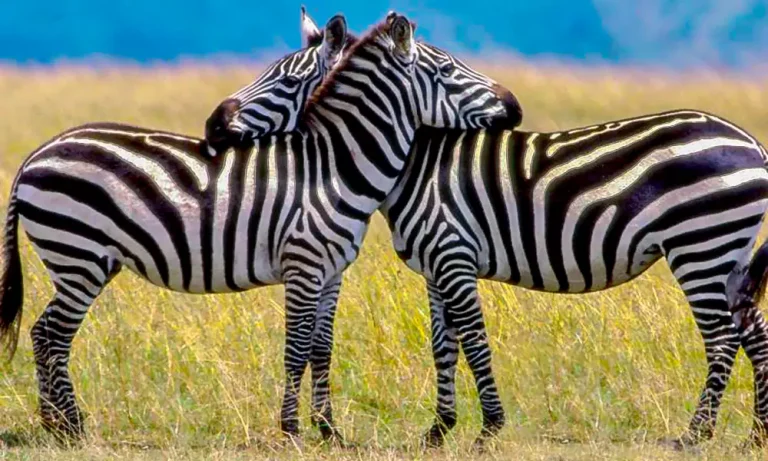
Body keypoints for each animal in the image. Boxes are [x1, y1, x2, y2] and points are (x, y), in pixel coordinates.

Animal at [0, 11, 520, 442]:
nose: (514, 106)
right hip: (78, 256)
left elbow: (321, 347)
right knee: (50, 335)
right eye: (448, 71)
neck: (334, 166)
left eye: (286, 80)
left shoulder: (332, 271)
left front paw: (329, 431)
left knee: (46, 334)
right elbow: (295, 346)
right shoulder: (303, 265)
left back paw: (57, 425)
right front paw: (291, 430)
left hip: (87, 260)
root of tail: (37, 153)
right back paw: (70, 428)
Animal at [374, 113, 768, 448]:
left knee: (722, 340)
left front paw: (484, 432)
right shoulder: (436, 267)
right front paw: (438, 431)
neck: (417, 165)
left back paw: (695, 434)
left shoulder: (452, 254)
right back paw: (757, 436)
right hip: (730, 257)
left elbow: (472, 343)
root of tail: (753, 145)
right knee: (755, 336)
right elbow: (443, 347)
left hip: (700, 244)